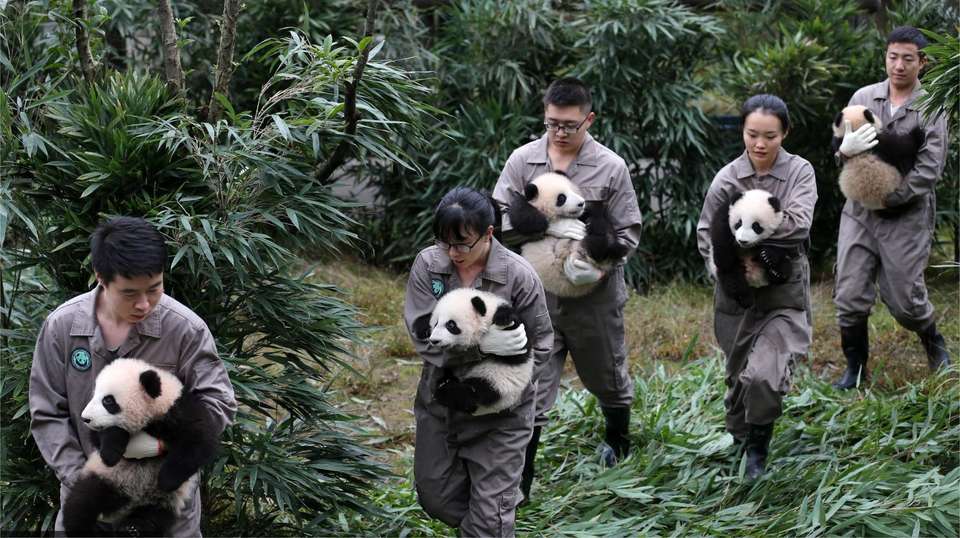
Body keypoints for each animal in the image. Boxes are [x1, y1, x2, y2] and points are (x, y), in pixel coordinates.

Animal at [62, 358, 219, 537]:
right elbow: (99, 436)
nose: (85, 418)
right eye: (94, 394)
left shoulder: (179, 411)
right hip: (105, 477)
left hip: (163, 501)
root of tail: (126, 504)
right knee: (82, 501)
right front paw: (110, 453)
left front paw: (166, 480)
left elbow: (198, 444)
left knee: (154, 517)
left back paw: (133, 528)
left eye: (108, 401)